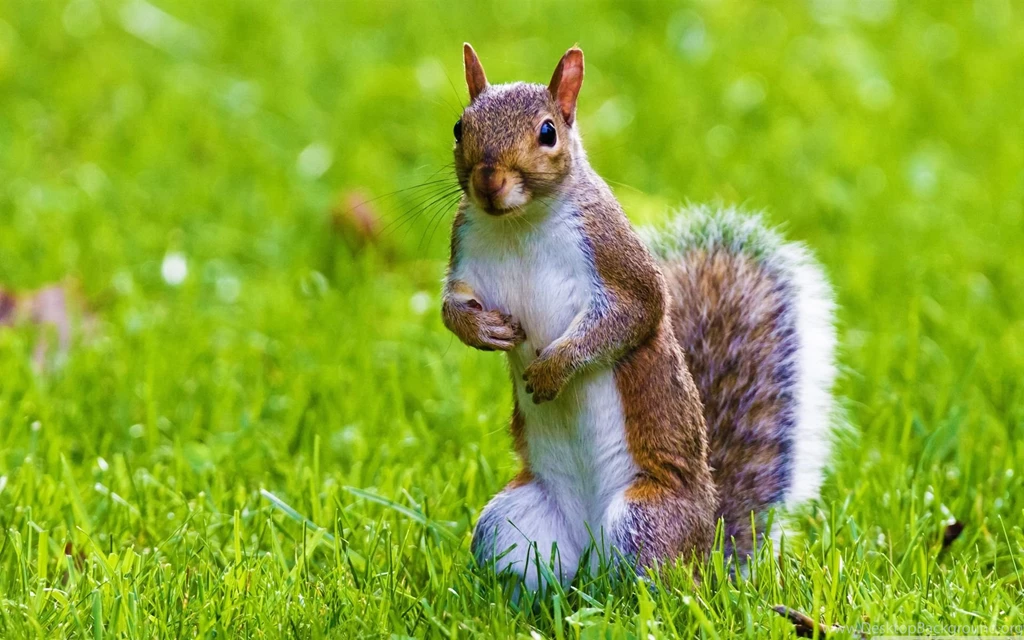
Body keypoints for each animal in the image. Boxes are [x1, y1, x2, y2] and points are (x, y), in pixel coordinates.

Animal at [441, 44, 837, 590]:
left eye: (548, 132)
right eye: (460, 127)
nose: (488, 181)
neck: (518, 223)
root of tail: (708, 550)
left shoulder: (614, 257)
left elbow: (634, 316)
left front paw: (552, 369)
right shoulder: (465, 253)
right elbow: (450, 307)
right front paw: (483, 330)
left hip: (644, 519)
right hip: (510, 525)